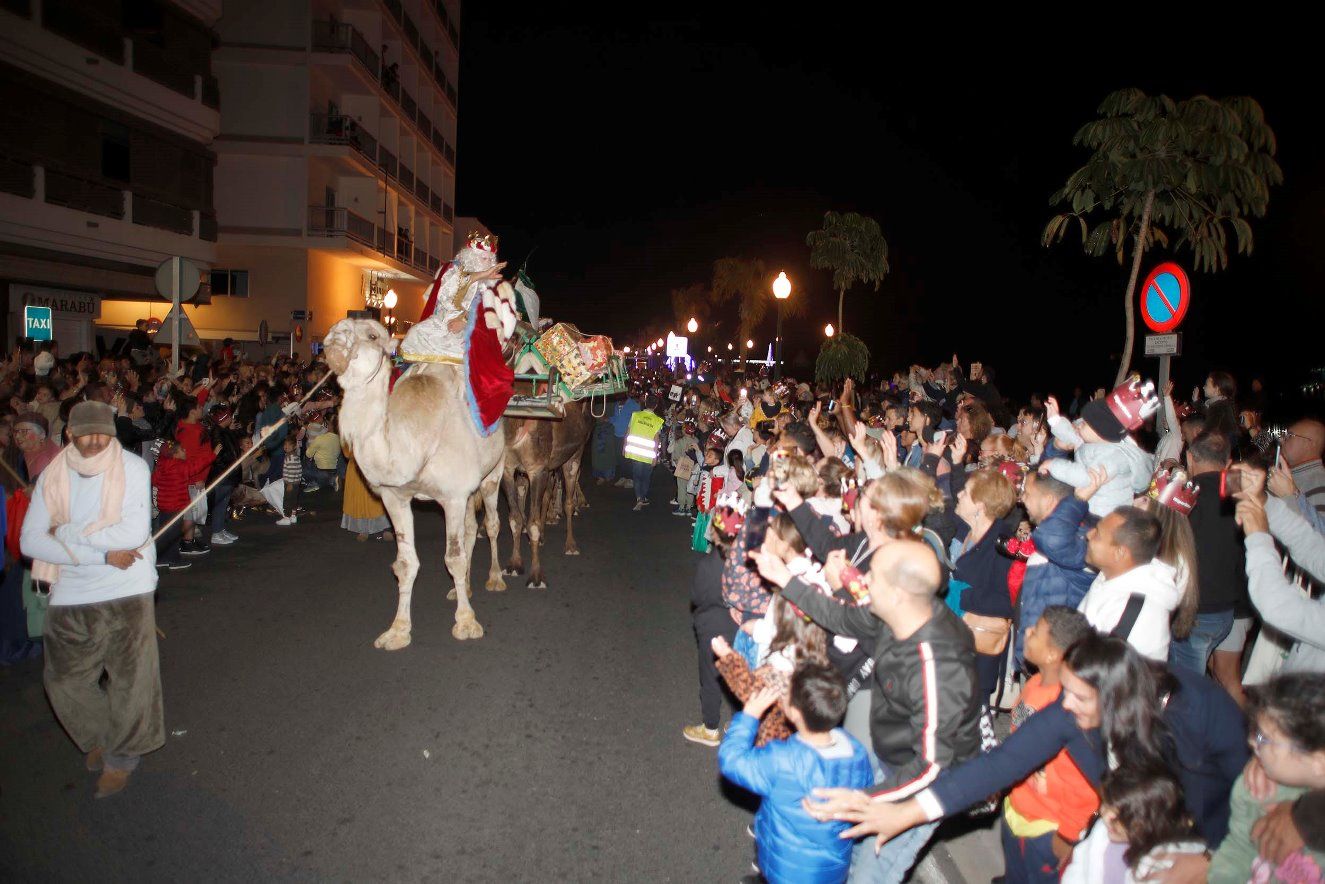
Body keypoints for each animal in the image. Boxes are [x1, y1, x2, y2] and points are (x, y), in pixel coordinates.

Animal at [321, 319, 506, 649]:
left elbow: (453, 558)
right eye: (334, 329)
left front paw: (466, 623)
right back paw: (464, 589)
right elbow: (405, 564)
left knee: (493, 523)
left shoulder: (452, 496)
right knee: (471, 528)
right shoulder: (395, 497)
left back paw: (495, 579)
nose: (333, 341)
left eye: (372, 335)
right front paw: (397, 630)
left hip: (494, 471)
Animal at [500, 405, 590, 591]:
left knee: (566, 501)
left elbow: (532, 523)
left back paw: (570, 545)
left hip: (571, 456)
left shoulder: (538, 469)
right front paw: (514, 565)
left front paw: (536, 577)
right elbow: (515, 518)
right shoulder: (507, 468)